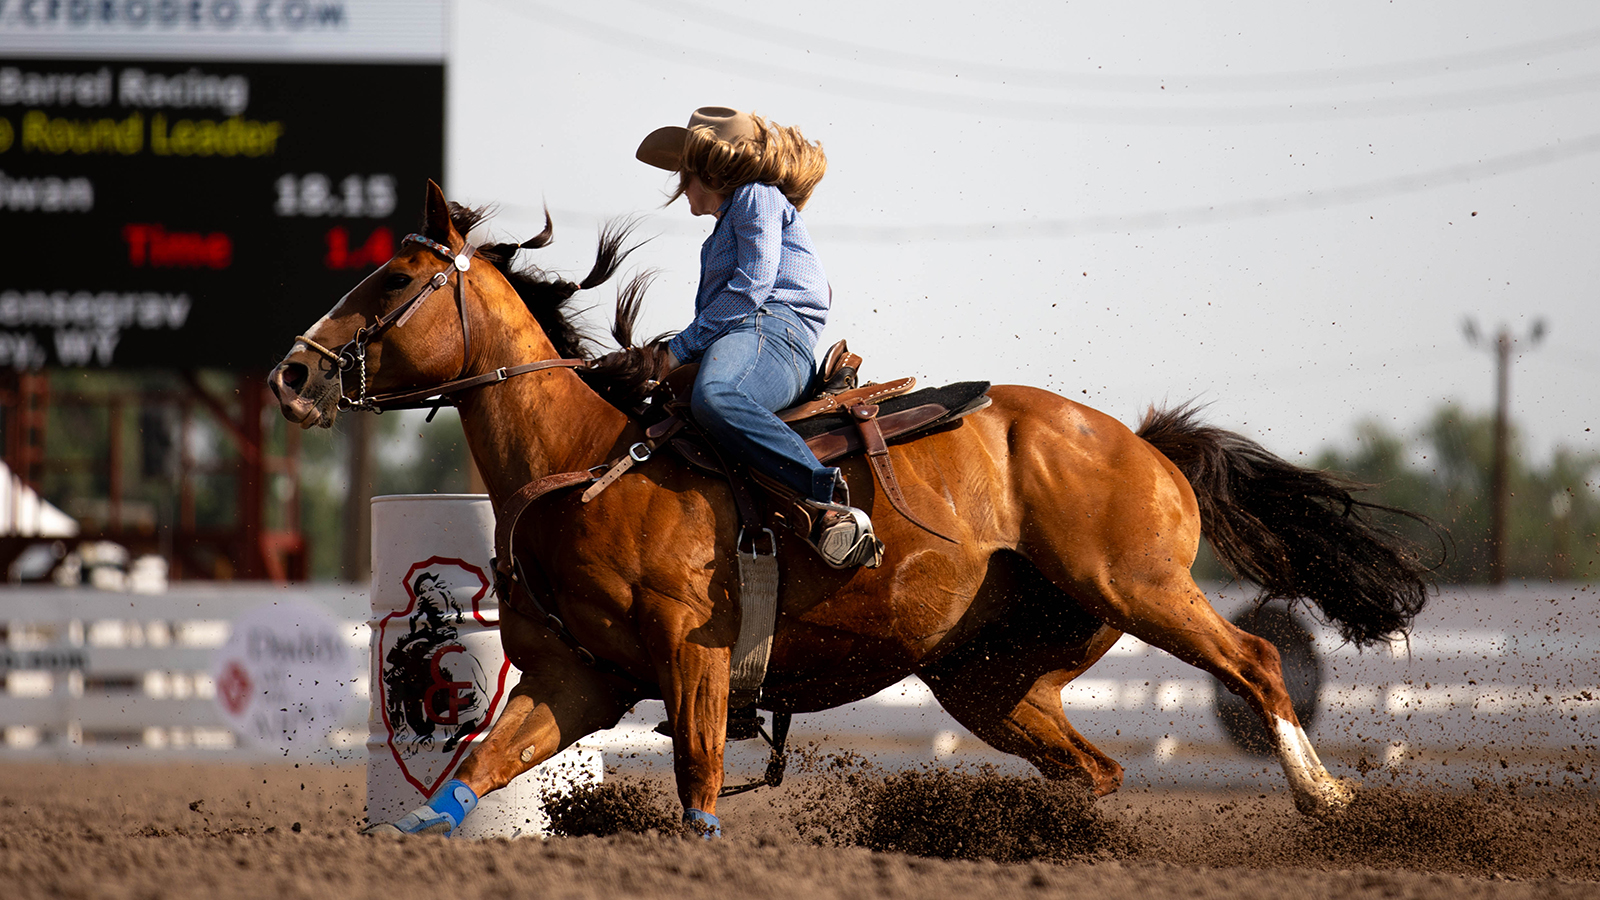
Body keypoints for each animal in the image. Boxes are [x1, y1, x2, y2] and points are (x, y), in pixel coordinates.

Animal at [268, 182, 1433, 832]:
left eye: (392, 279)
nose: (293, 372)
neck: (586, 462)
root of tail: (1139, 440)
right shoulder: (578, 680)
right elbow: (471, 774)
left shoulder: (695, 660)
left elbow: (697, 791)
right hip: (990, 675)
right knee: (1095, 770)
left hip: (1139, 585)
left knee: (1259, 662)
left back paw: (1324, 800)